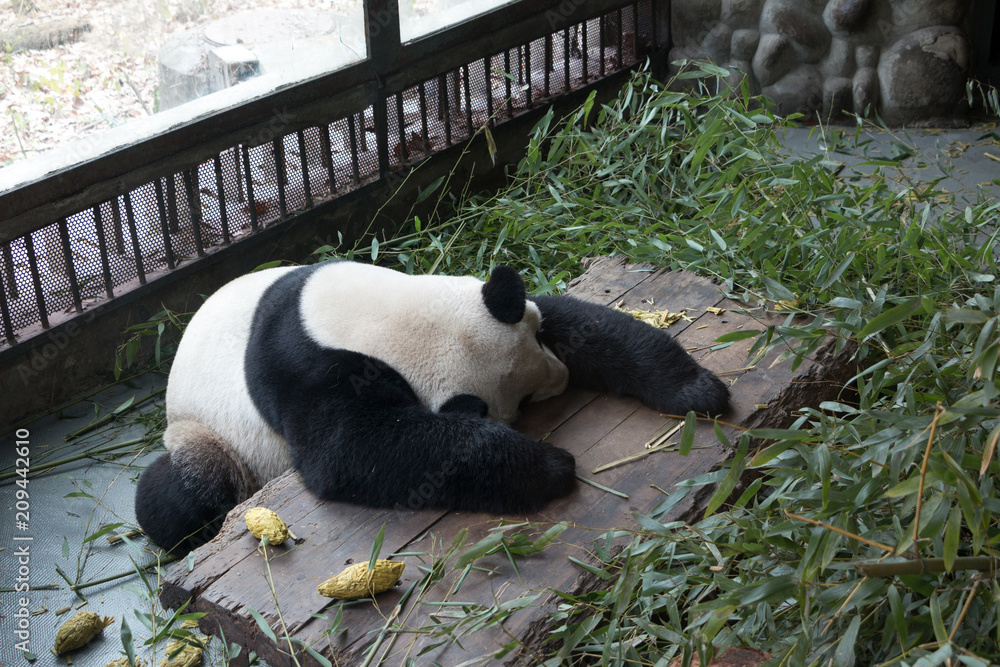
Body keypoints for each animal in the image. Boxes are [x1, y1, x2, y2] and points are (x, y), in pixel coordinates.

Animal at [135, 260, 728, 552]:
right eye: (525, 401)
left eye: (540, 342)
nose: (560, 381)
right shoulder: (303, 371)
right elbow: (350, 448)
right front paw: (547, 466)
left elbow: (585, 321)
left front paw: (697, 389)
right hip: (207, 431)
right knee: (179, 495)